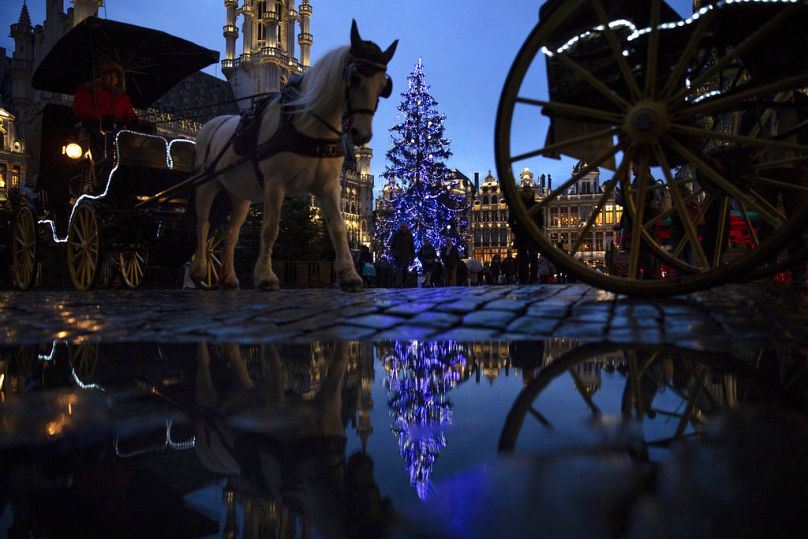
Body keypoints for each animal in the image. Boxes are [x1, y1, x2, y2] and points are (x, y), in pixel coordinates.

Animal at [193, 22, 400, 292]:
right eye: (353, 77)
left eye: (384, 86)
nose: (360, 133)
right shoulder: (275, 183)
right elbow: (270, 228)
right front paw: (266, 276)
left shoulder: (327, 185)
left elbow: (338, 227)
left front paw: (350, 275)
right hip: (206, 185)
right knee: (203, 224)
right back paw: (199, 272)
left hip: (240, 194)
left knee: (231, 232)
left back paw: (228, 278)